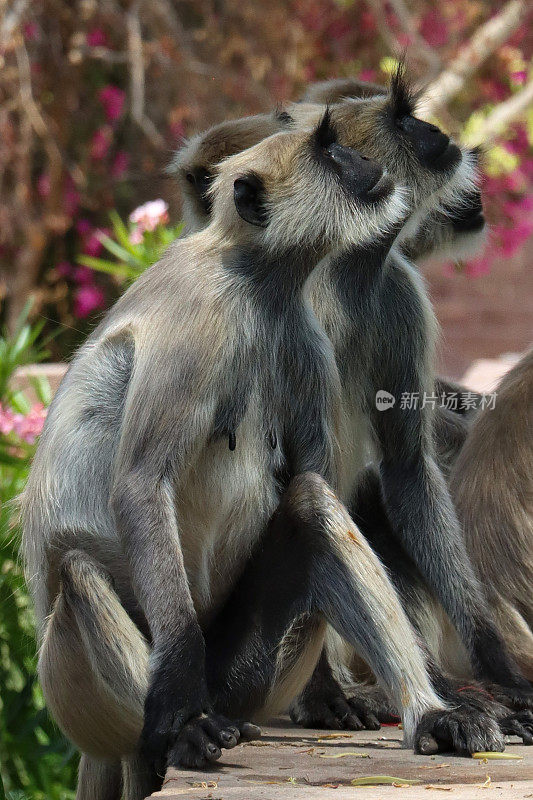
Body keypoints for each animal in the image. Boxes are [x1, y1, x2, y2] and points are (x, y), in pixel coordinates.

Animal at [23, 117, 462, 800]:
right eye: (331, 152)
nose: (368, 166)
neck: (255, 280)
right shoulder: (199, 319)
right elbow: (142, 483)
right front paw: (179, 699)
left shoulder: (302, 335)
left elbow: (314, 479)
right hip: (88, 700)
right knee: (77, 572)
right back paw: (183, 732)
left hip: (244, 678)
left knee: (311, 505)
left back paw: (429, 715)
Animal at [172, 69, 532, 752]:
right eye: (402, 118)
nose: (440, 134)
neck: (342, 265)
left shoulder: (395, 292)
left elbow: (407, 468)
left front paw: (495, 664)